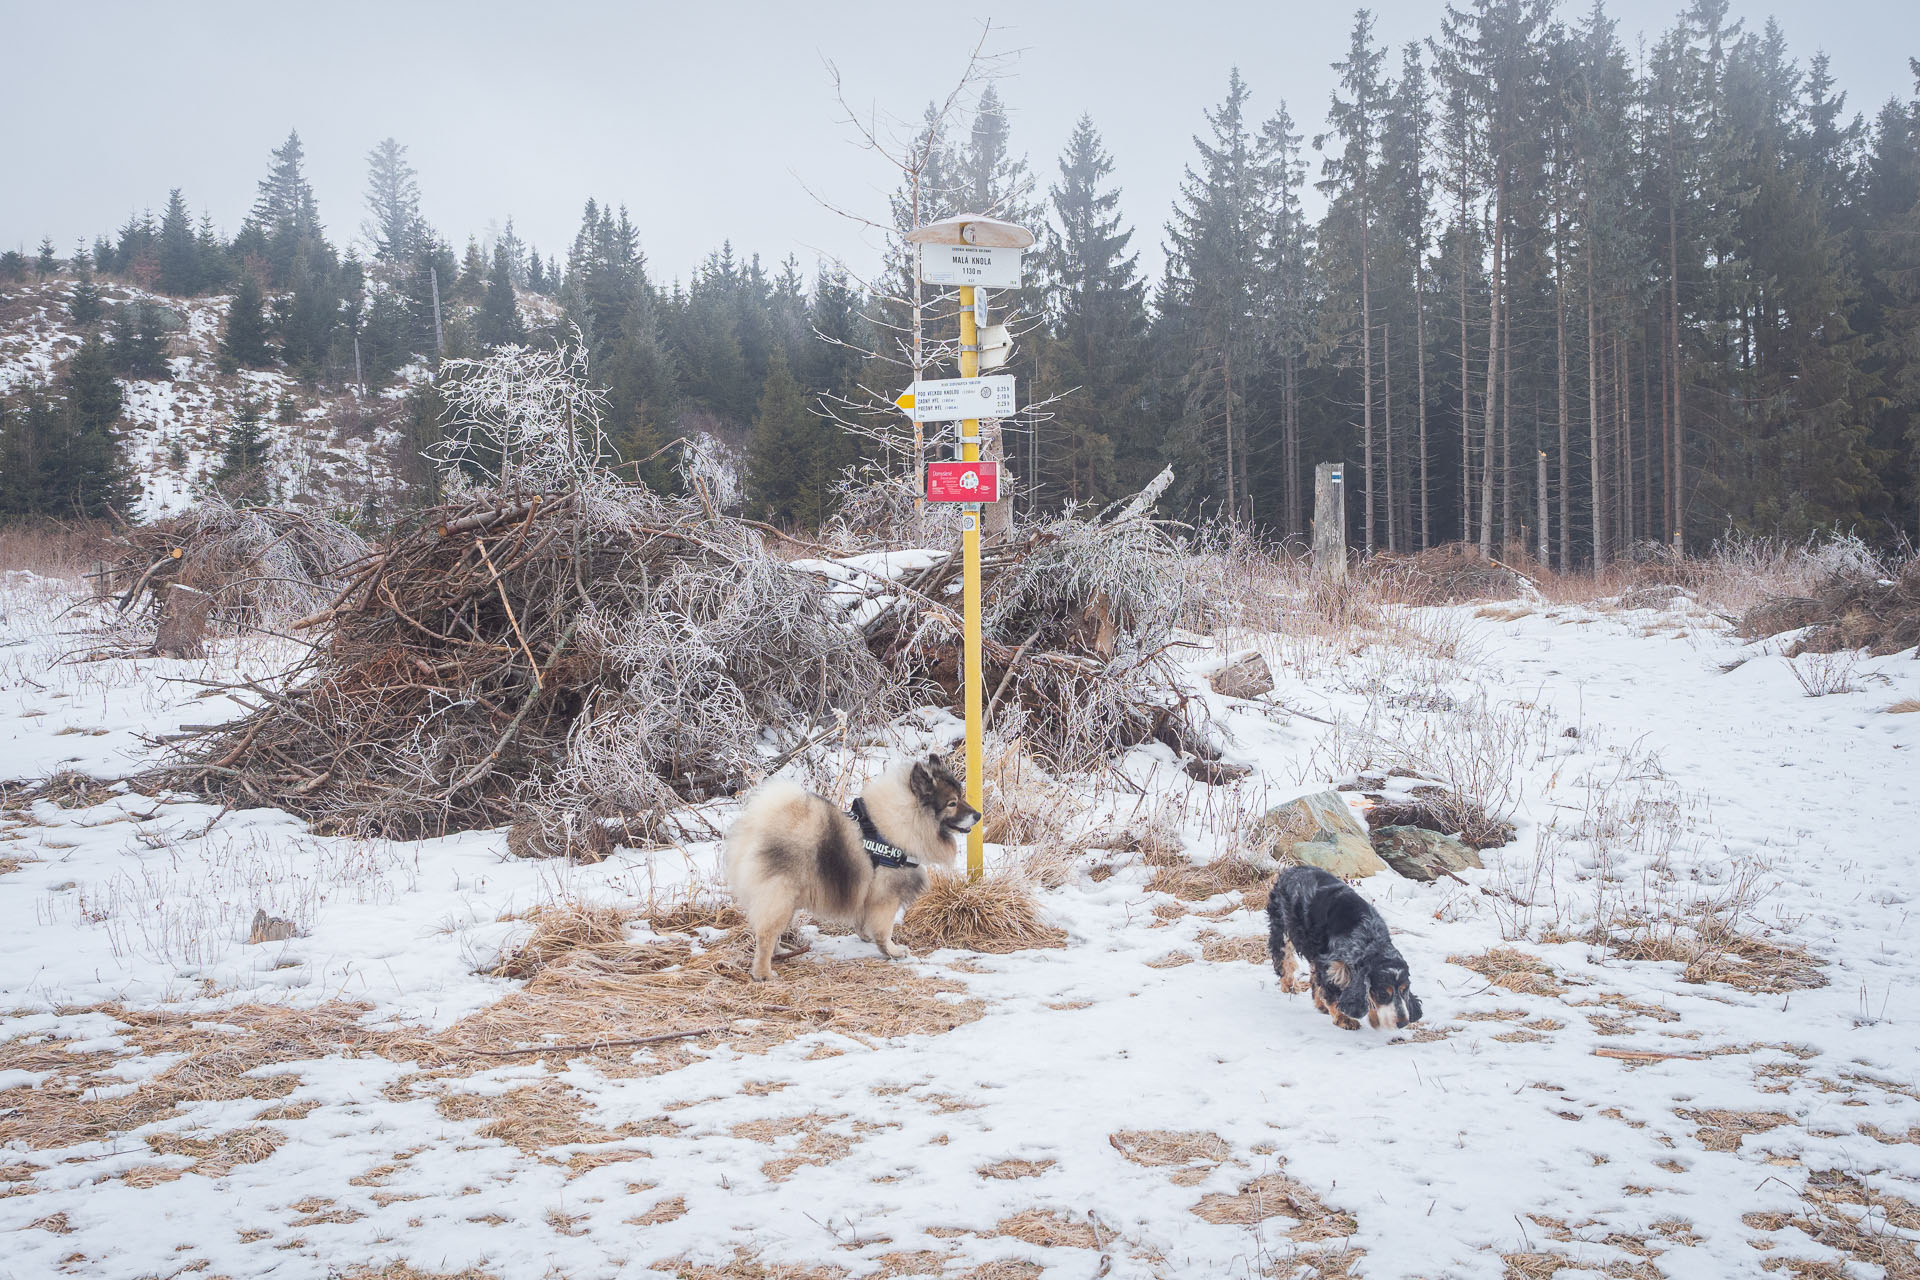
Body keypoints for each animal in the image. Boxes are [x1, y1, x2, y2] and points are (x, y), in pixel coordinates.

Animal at [725, 756, 983, 990]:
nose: (978, 815)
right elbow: (885, 929)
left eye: (961, 797)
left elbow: (863, 919)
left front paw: (866, 937)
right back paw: (763, 973)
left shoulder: (868, 892)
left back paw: (780, 952)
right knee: (765, 935)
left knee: (769, 932)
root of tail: (758, 827)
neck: (904, 821)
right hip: (781, 896)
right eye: (952, 803)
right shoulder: (886, 897)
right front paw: (892, 951)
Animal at [1267, 859, 1420, 1028]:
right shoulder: (1331, 967)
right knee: (1283, 957)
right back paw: (1289, 985)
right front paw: (1344, 1019)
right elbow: (1333, 994)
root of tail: (1290, 870)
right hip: (1282, 926)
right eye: (1383, 993)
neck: (1369, 938)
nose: (1403, 1023)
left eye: (1404, 990)